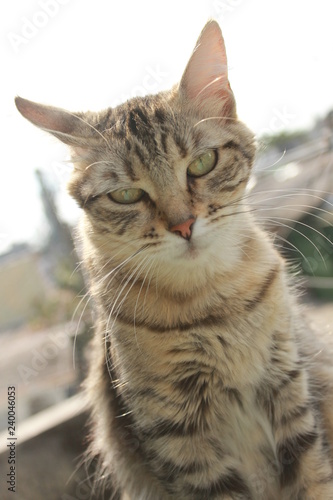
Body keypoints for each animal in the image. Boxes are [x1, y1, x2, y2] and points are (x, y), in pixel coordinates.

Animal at [16, 19, 333, 500]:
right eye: (127, 195)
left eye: (202, 163)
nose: (184, 226)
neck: (212, 300)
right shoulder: (178, 437)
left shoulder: (290, 389)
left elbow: (313, 477)